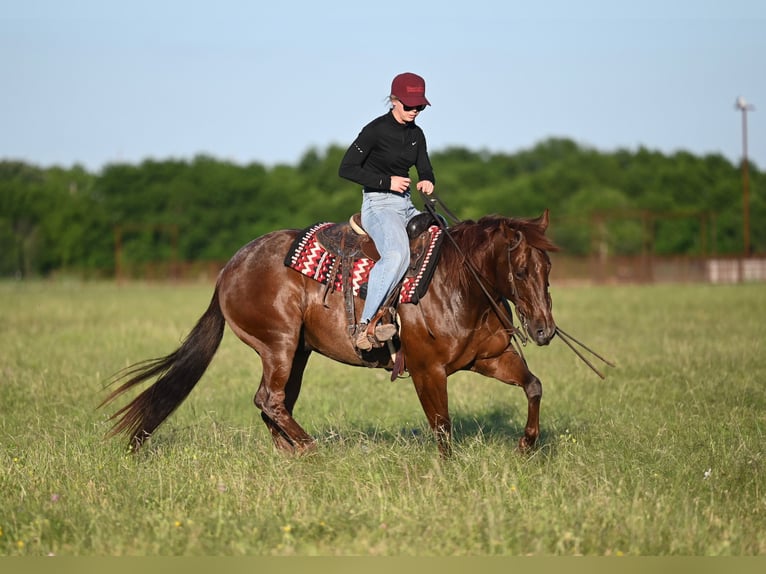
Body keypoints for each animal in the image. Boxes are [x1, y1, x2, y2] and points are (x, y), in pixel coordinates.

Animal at [102, 209, 559, 457]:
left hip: (297, 353)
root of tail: (228, 269)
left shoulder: (489, 358)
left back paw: (290, 454)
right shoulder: (428, 371)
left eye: (548, 268)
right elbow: (442, 427)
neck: (456, 283)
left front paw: (527, 445)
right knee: (271, 400)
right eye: (520, 270)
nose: (544, 330)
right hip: (279, 345)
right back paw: (309, 450)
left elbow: (533, 385)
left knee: (272, 403)